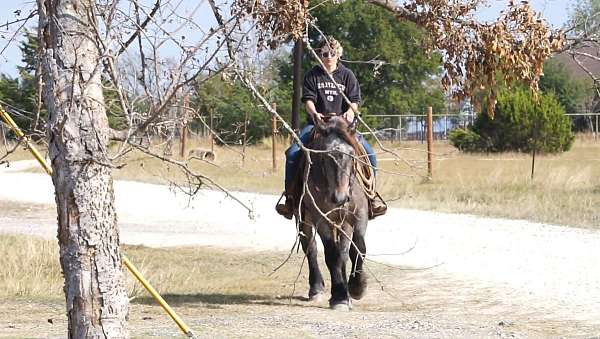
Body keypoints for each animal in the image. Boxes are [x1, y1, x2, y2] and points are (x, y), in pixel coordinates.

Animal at [292, 116, 368, 310]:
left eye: (352, 154)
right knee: (311, 249)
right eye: (325, 155)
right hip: (304, 219)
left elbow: (358, 249)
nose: (340, 197)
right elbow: (332, 255)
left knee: (343, 252)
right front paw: (340, 297)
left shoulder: (358, 216)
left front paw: (357, 287)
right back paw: (317, 289)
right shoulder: (321, 218)